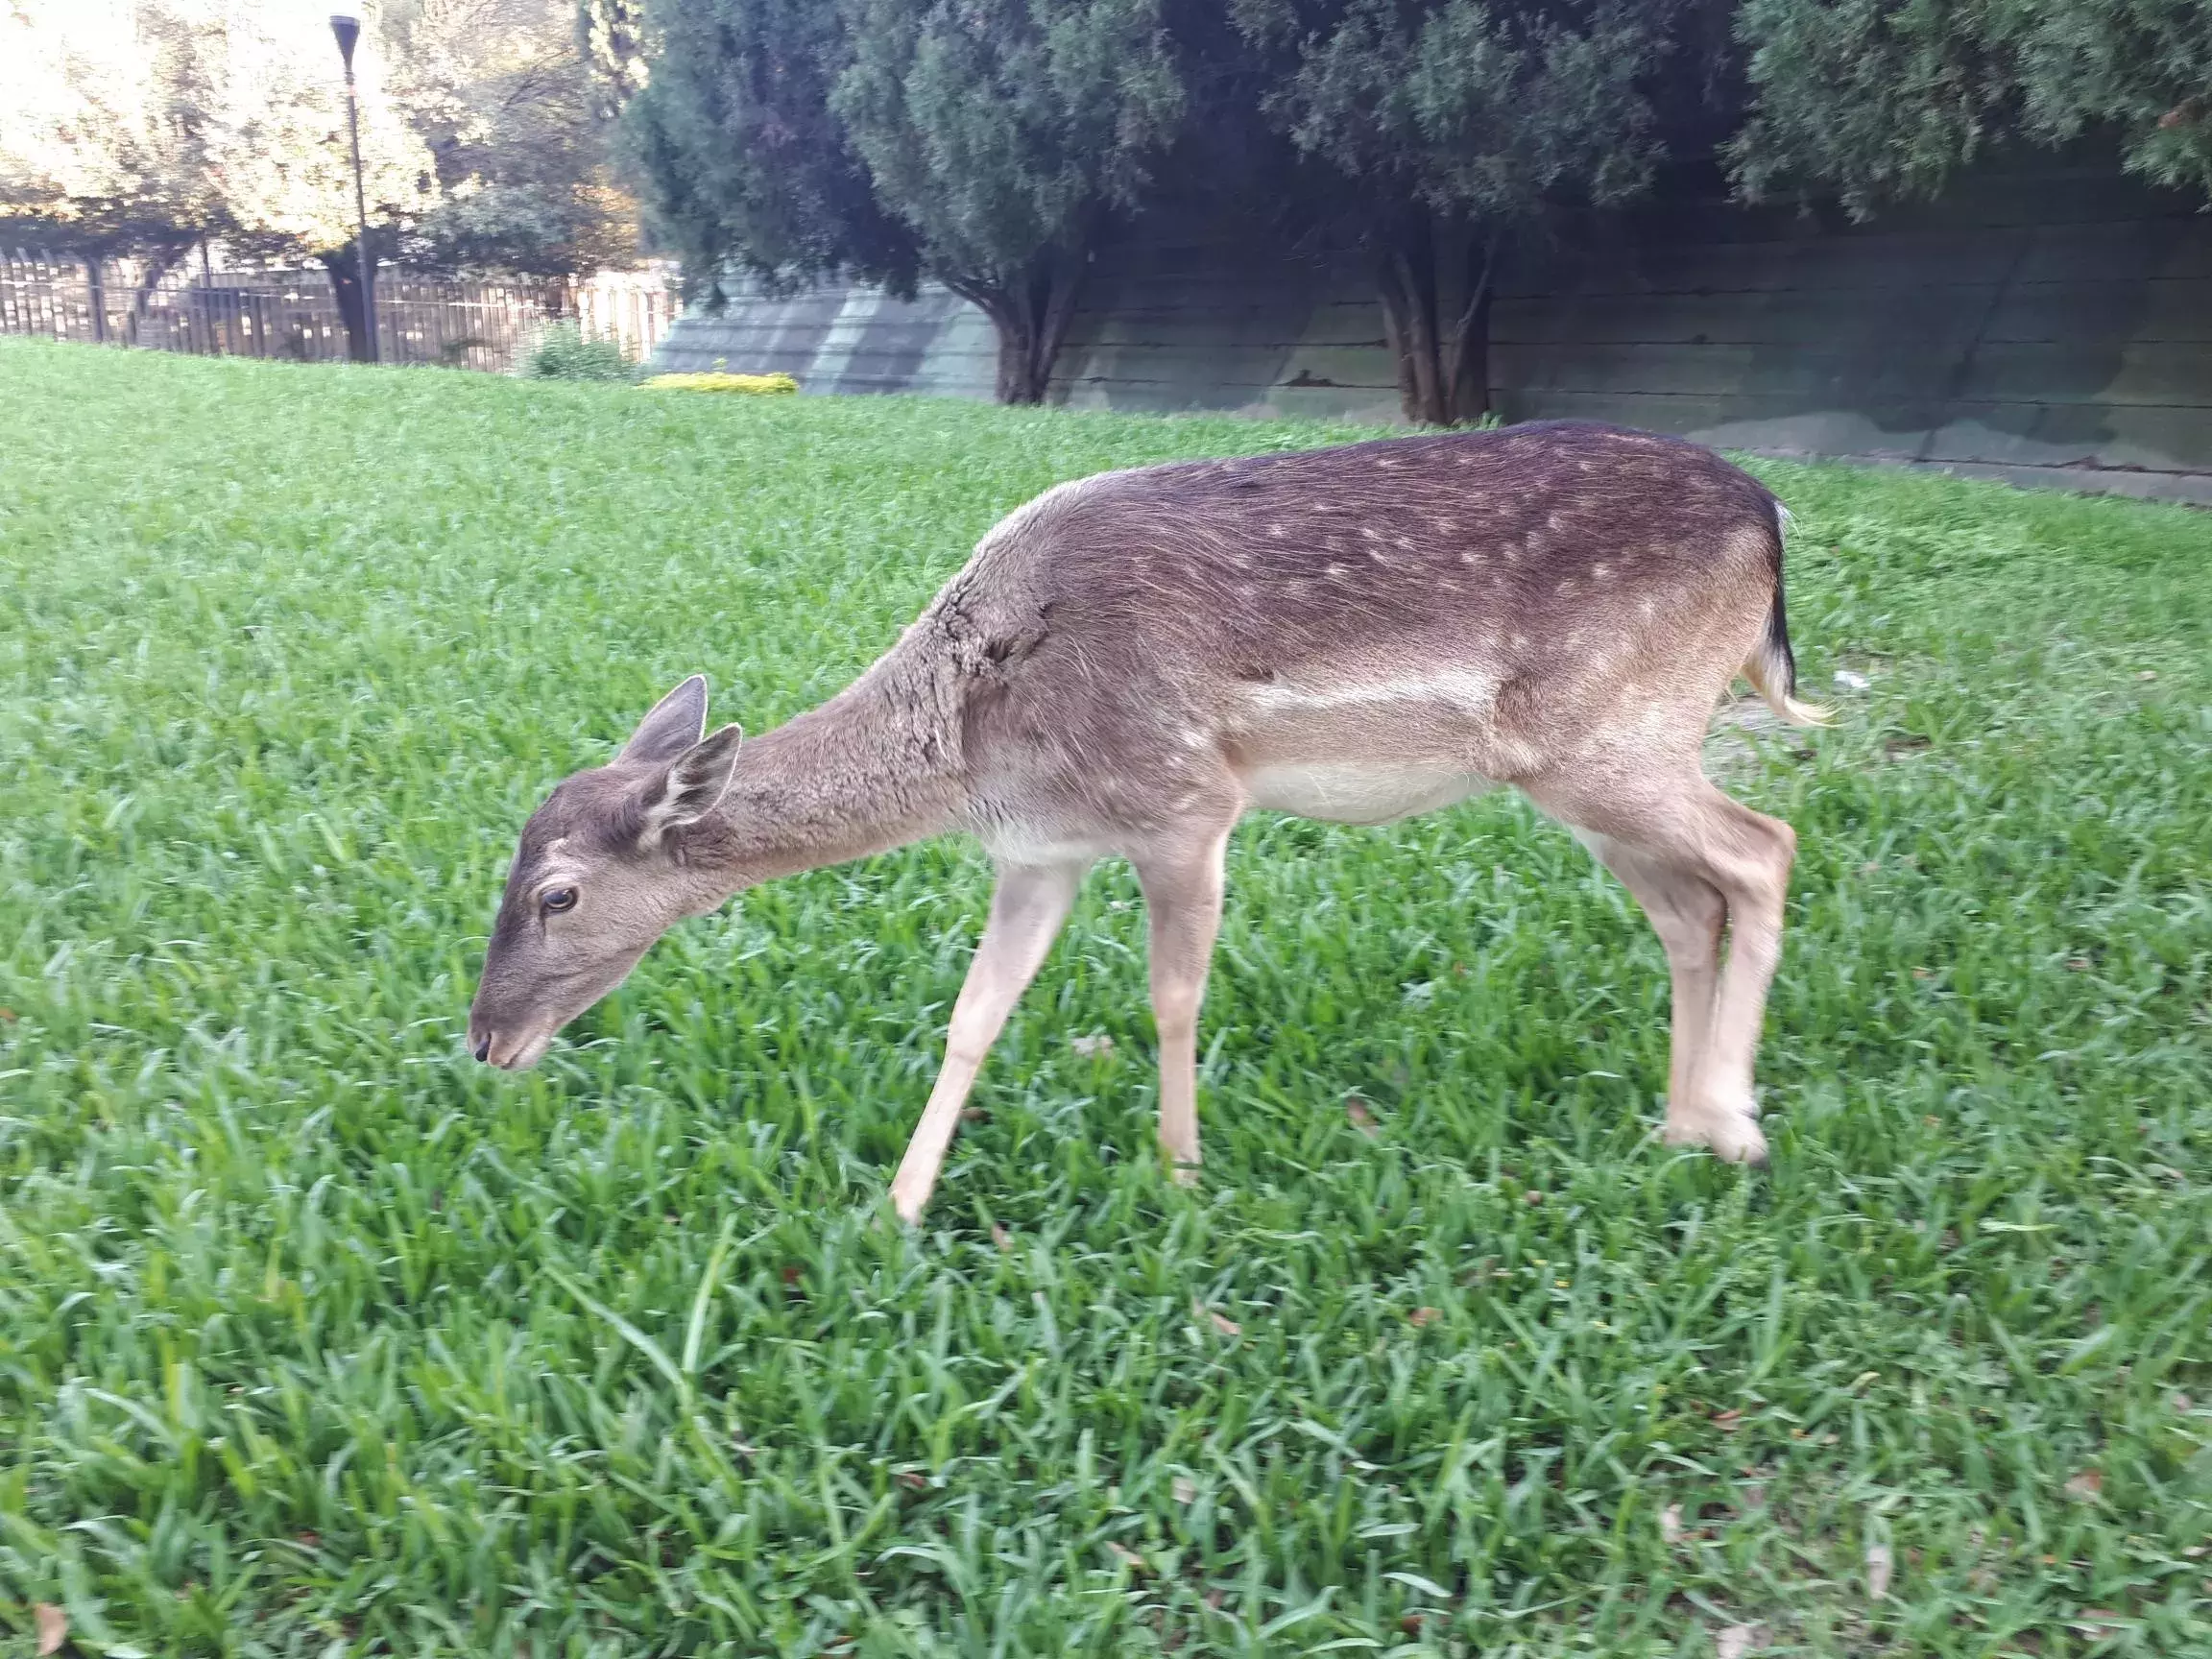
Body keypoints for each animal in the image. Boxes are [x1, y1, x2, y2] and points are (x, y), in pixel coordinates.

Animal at [470, 422, 1831, 1230]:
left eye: (556, 893)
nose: (485, 1040)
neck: (976, 735)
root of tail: (1771, 528)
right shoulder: (1040, 849)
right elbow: (974, 1015)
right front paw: (901, 1207)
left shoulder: (1186, 800)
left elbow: (1173, 996)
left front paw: (1180, 1178)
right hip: (1587, 769)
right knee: (1688, 907)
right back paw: (1676, 1124)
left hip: (1614, 738)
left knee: (1764, 849)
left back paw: (1734, 1122)